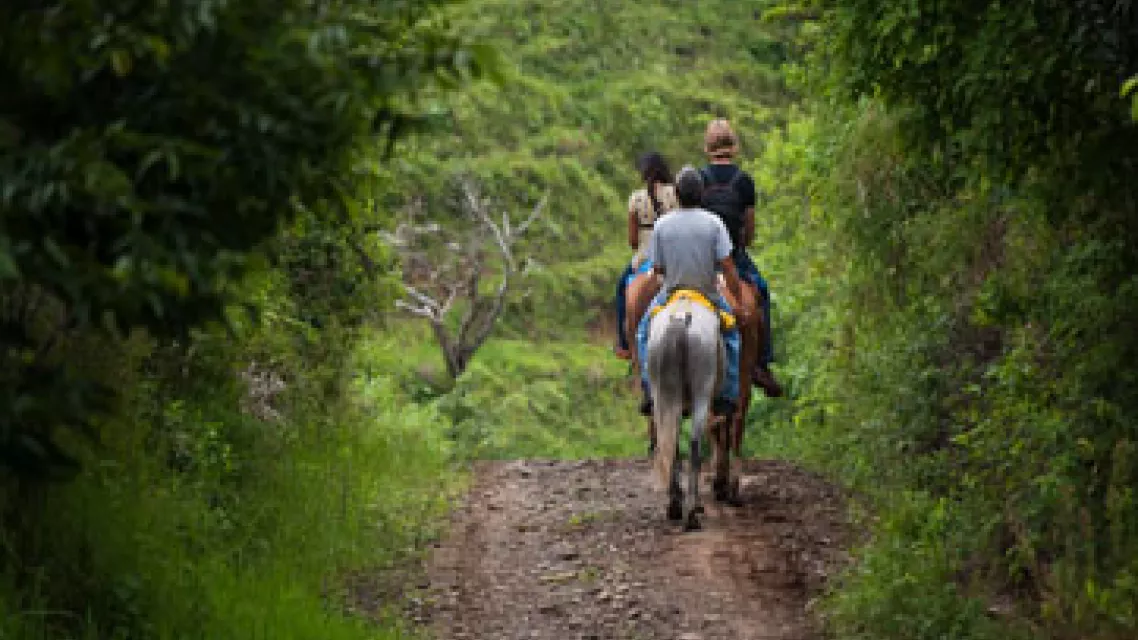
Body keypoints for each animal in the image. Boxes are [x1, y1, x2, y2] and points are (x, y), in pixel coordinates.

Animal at [646, 291, 723, 526]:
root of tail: (679, 320)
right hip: (702, 393)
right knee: (695, 446)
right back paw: (691, 513)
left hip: (662, 396)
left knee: (670, 445)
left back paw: (675, 506)